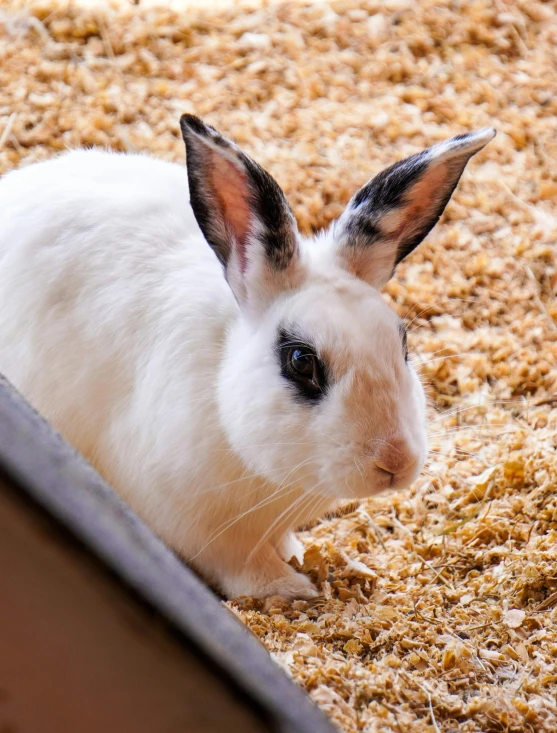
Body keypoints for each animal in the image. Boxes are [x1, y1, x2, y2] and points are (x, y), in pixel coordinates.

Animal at [0, 117, 496, 596]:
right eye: (301, 361)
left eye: (403, 344)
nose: (396, 461)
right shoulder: (200, 526)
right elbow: (244, 568)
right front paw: (293, 588)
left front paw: (295, 556)